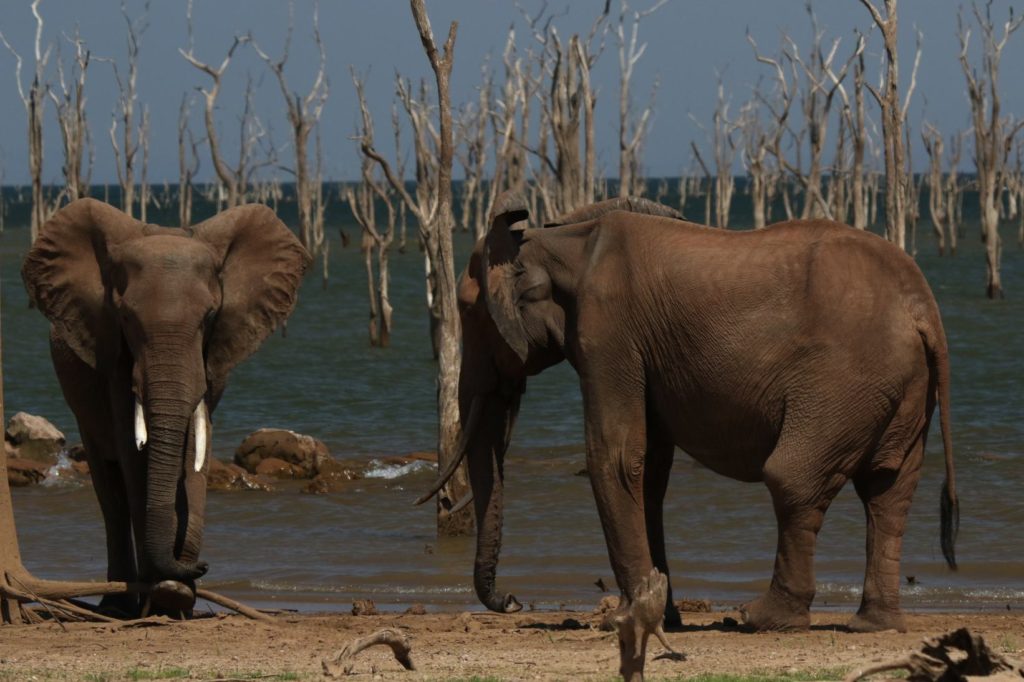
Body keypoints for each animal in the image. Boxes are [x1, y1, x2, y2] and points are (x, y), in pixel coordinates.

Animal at [19, 197, 307, 614]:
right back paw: (119, 606)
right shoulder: (113, 355)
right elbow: (135, 454)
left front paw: (177, 595)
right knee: (110, 491)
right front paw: (166, 592)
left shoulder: (213, 359)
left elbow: (195, 450)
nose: (203, 567)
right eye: (125, 316)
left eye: (209, 316)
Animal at [428, 191, 954, 679]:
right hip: (901, 391)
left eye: (470, 313)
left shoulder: (608, 331)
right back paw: (873, 624)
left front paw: (622, 618)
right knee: (888, 492)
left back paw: (761, 619)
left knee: (793, 479)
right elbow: (651, 473)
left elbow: (616, 457)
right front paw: (663, 614)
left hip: (842, 383)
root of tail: (923, 307)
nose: (513, 600)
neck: (560, 238)